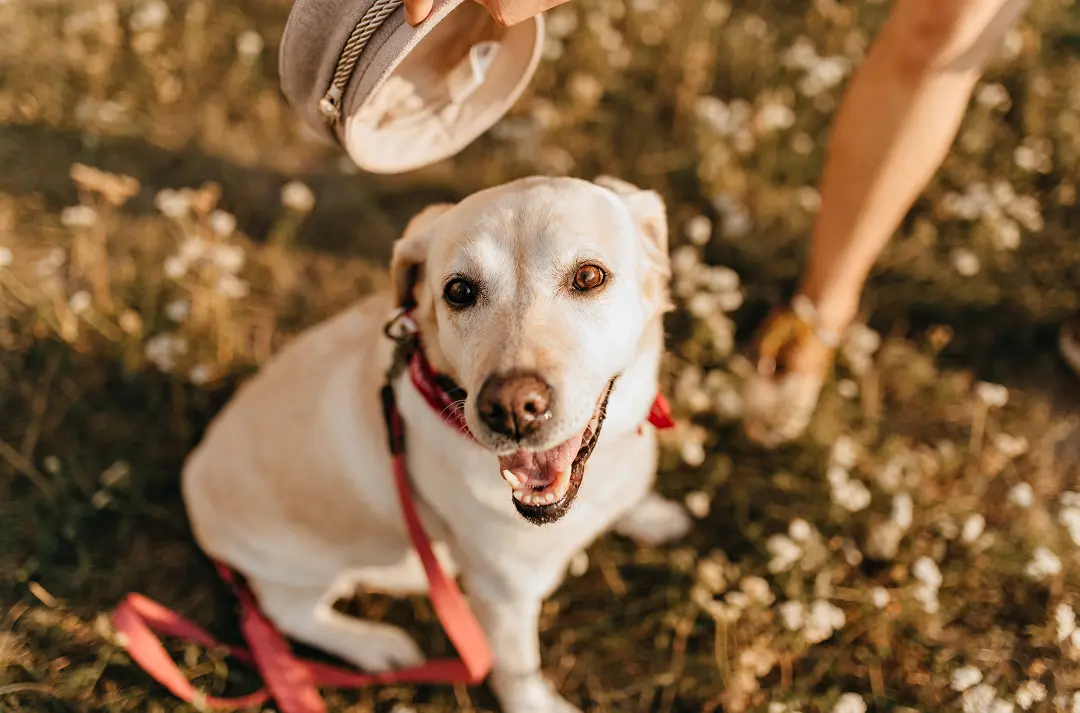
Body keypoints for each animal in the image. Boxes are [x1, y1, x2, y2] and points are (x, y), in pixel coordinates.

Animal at [180, 173, 691, 713]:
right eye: (459, 290)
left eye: (590, 276)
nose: (511, 409)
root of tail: (192, 472)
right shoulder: (502, 595)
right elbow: (517, 669)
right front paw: (535, 704)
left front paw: (650, 515)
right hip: (302, 568)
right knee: (287, 615)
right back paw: (376, 645)